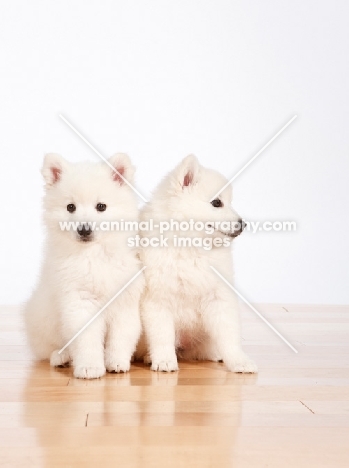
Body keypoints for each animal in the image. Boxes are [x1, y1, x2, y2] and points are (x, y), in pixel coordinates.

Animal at [24, 154, 143, 380]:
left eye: (101, 206)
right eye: (71, 207)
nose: (84, 229)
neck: (94, 255)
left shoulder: (124, 301)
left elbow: (121, 336)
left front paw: (117, 362)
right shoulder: (80, 301)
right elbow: (86, 338)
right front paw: (90, 367)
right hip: (44, 320)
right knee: (50, 347)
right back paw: (61, 356)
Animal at [136, 155, 256, 374]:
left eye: (230, 202)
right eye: (217, 203)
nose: (243, 224)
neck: (191, 246)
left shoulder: (219, 296)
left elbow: (229, 334)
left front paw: (239, 361)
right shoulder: (158, 299)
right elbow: (162, 335)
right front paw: (164, 360)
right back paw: (149, 357)